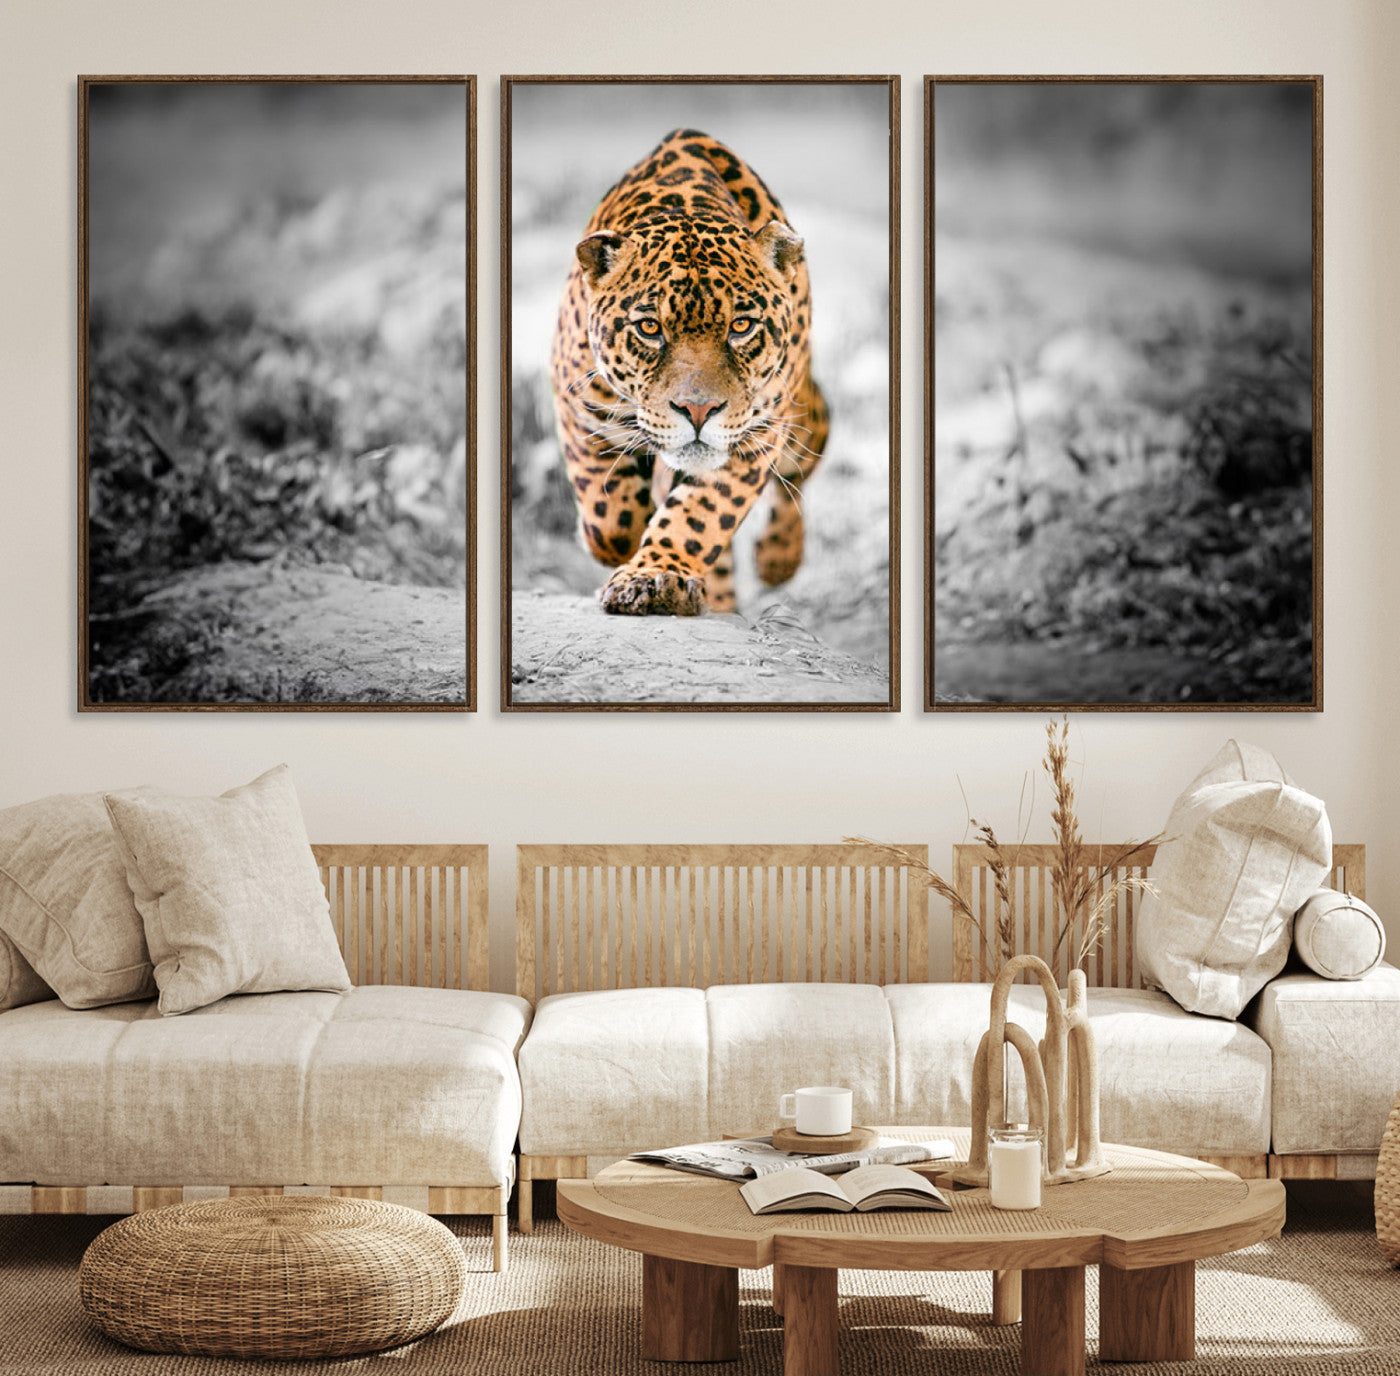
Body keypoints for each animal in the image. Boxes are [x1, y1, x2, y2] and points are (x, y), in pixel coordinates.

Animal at [549, 128, 829, 616]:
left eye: (741, 326)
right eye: (649, 328)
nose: (698, 411)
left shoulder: (755, 437)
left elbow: (700, 515)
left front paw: (655, 577)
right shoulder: (578, 405)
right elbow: (610, 516)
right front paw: (625, 545)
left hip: (800, 417)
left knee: (800, 467)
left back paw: (778, 558)